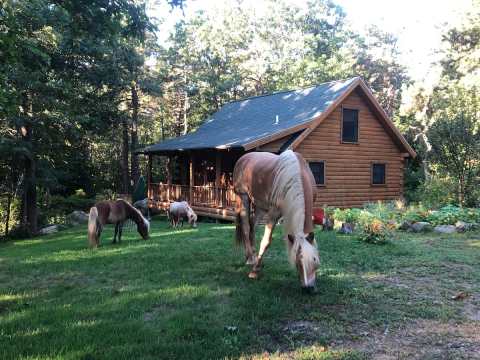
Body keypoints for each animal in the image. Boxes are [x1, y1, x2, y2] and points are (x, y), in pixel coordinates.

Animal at [232, 150, 318, 292]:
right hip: (243, 197)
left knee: (252, 226)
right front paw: (254, 272)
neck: (296, 174)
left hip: (260, 206)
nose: (309, 288)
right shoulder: (273, 214)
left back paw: (252, 257)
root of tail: (243, 158)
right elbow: (266, 241)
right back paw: (250, 259)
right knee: (246, 227)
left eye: (314, 259)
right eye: (297, 261)